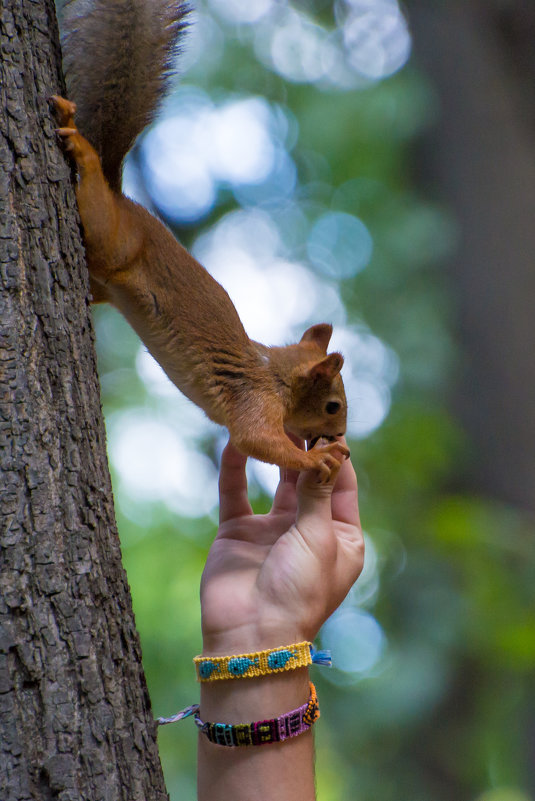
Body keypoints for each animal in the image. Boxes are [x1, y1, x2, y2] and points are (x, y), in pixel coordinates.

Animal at [52, 0, 350, 482]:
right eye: (332, 406)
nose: (340, 438)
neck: (276, 377)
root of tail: (119, 197)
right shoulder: (255, 402)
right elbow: (254, 439)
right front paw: (314, 459)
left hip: (104, 280)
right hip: (111, 238)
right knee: (94, 199)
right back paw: (82, 148)